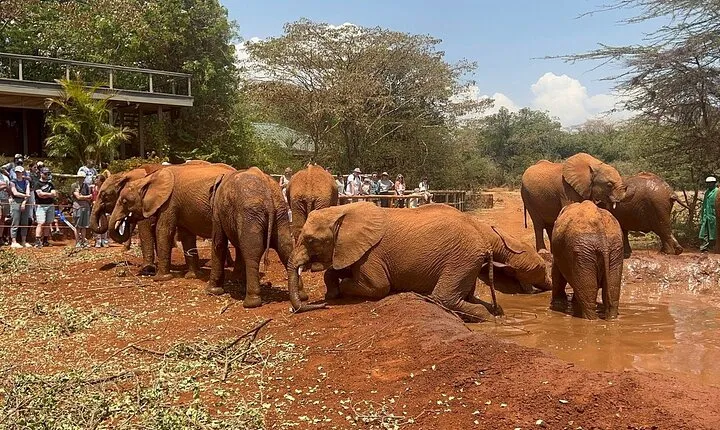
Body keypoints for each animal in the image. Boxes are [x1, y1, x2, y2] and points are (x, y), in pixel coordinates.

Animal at [206, 167, 305, 307]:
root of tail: (268, 195)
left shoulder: (217, 211)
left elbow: (219, 243)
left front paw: (212, 291)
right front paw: (239, 284)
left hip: (251, 214)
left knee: (252, 253)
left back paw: (251, 303)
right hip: (280, 214)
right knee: (285, 250)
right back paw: (302, 296)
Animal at [286, 202, 503, 322]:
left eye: (311, 240)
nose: (321, 305)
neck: (344, 210)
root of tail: (484, 241)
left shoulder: (372, 253)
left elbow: (378, 287)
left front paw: (340, 290)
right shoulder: (350, 249)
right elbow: (337, 270)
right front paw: (331, 294)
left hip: (461, 258)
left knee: (445, 297)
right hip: (467, 261)